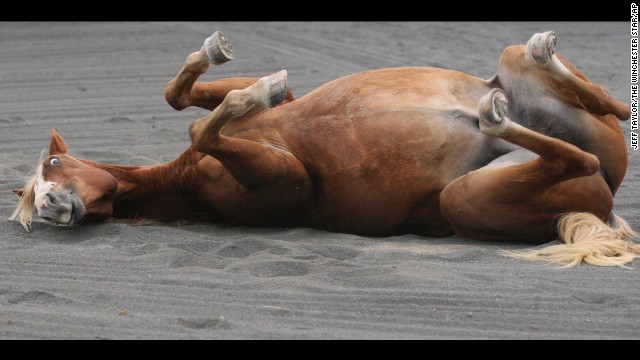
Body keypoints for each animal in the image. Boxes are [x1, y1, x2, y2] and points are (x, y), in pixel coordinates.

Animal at [11, 31, 640, 266]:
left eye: (53, 163)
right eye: (33, 198)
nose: (53, 205)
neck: (184, 181)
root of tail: (604, 203)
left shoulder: (267, 133)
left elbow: (188, 102)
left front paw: (236, 74)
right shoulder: (287, 179)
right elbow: (207, 126)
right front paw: (238, 98)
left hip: (529, 86)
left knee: (612, 108)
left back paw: (535, 57)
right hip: (466, 197)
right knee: (577, 155)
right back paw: (494, 116)